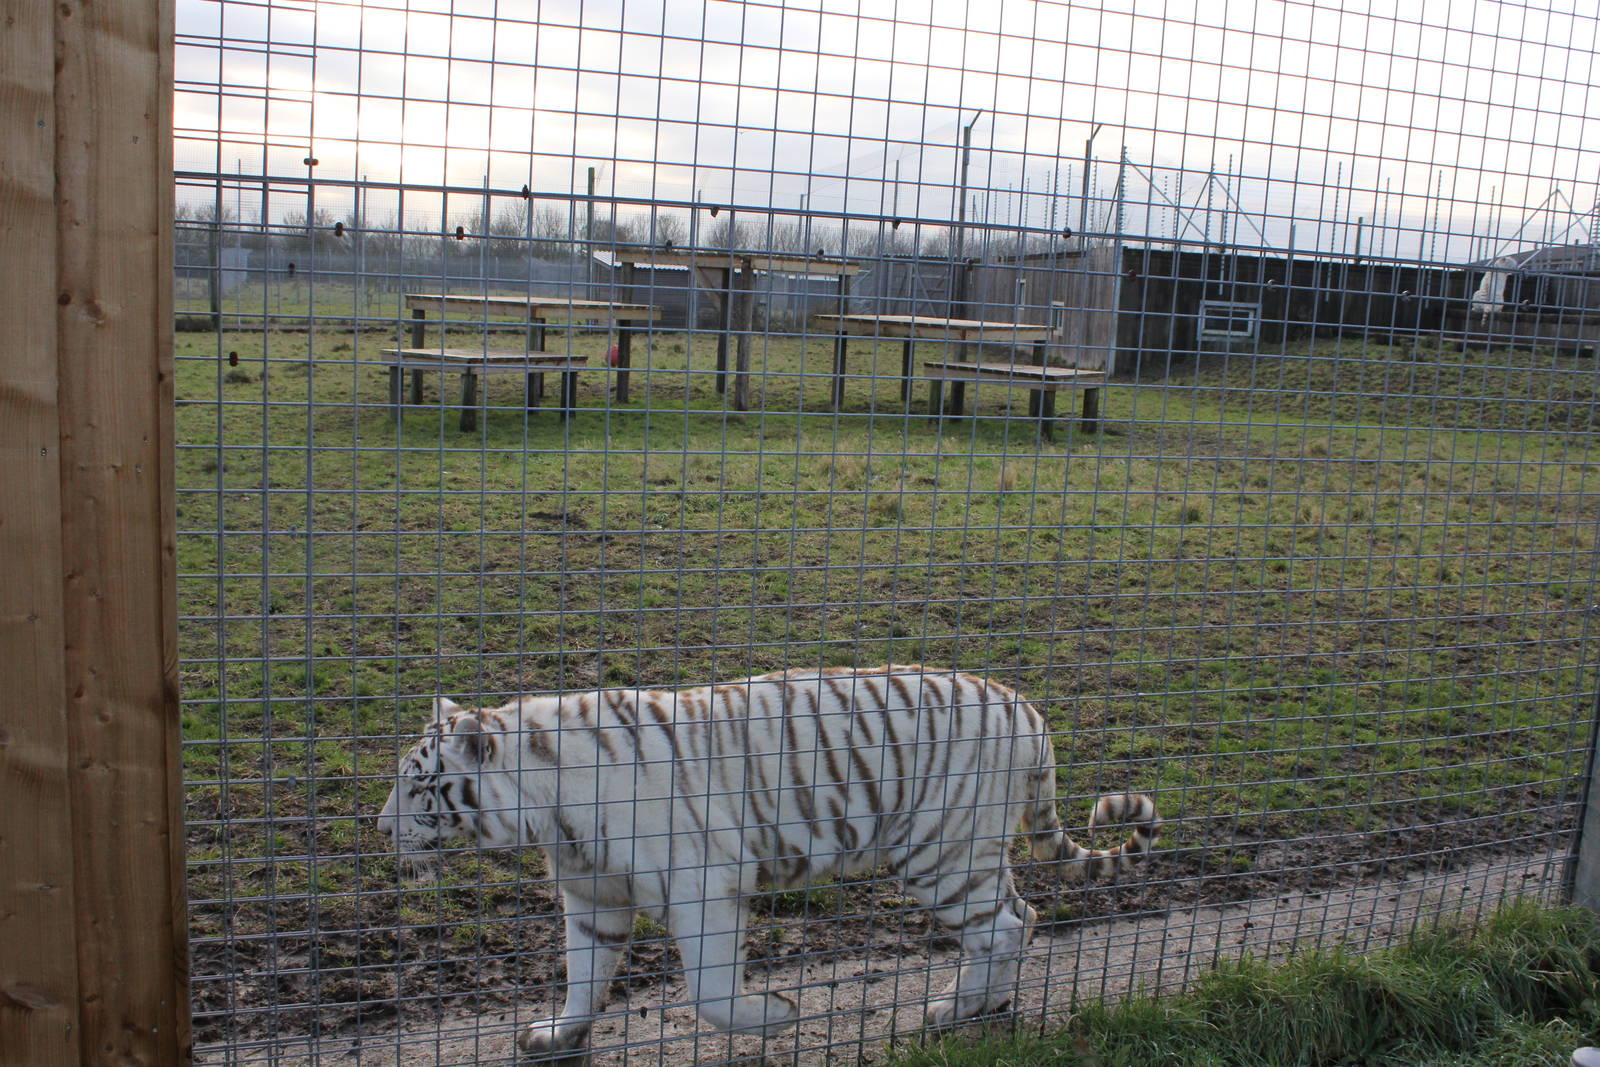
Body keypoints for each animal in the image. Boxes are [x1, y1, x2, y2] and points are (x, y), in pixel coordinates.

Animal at [377, 664, 1159, 1061]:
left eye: (419, 786)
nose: (382, 828)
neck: (548, 809)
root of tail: (1026, 707)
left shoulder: (702, 888)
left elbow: (710, 995)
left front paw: (777, 1016)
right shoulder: (595, 895)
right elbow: (583, 975)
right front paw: (559, 1034)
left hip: (940, 852)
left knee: (1005, 926)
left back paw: (952, 1009)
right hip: (966, 853)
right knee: (1020, 915)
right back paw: (981, 1004)